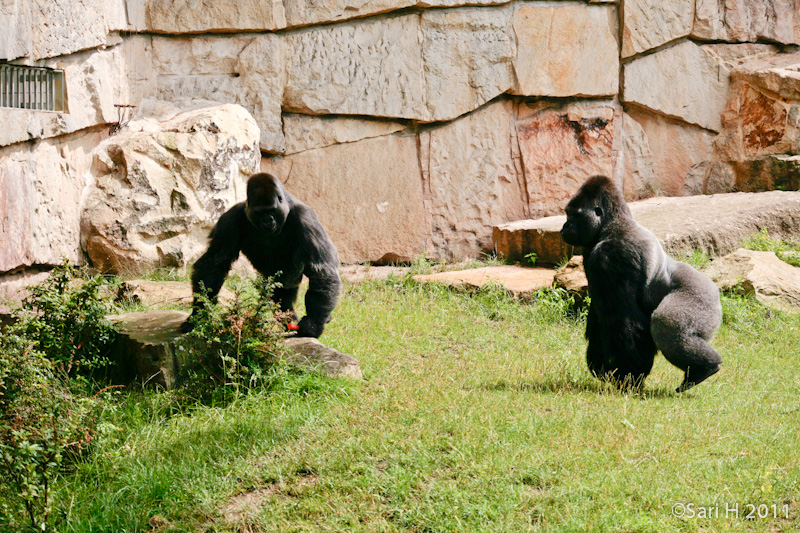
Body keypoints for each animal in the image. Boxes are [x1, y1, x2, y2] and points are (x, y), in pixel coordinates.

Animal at [182, 172, 340, 336]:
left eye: (271, 210)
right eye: (260, 212)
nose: (267, 220)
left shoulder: (306, 218)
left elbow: (321, 270)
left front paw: (313, 323)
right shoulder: (230, 219)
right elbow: (214, 264)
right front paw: (198, 314)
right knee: (281, 297)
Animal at [560, 175, 720, 390]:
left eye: (573, 215)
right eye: (567, 214)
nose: (565, 227)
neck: (611, 225)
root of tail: (716, 293)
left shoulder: (612, 255)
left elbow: (625, 321)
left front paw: (630, 376)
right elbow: (600, 314)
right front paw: (602, 364)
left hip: (701, 298)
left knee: (665, 324)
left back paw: (703, 368)